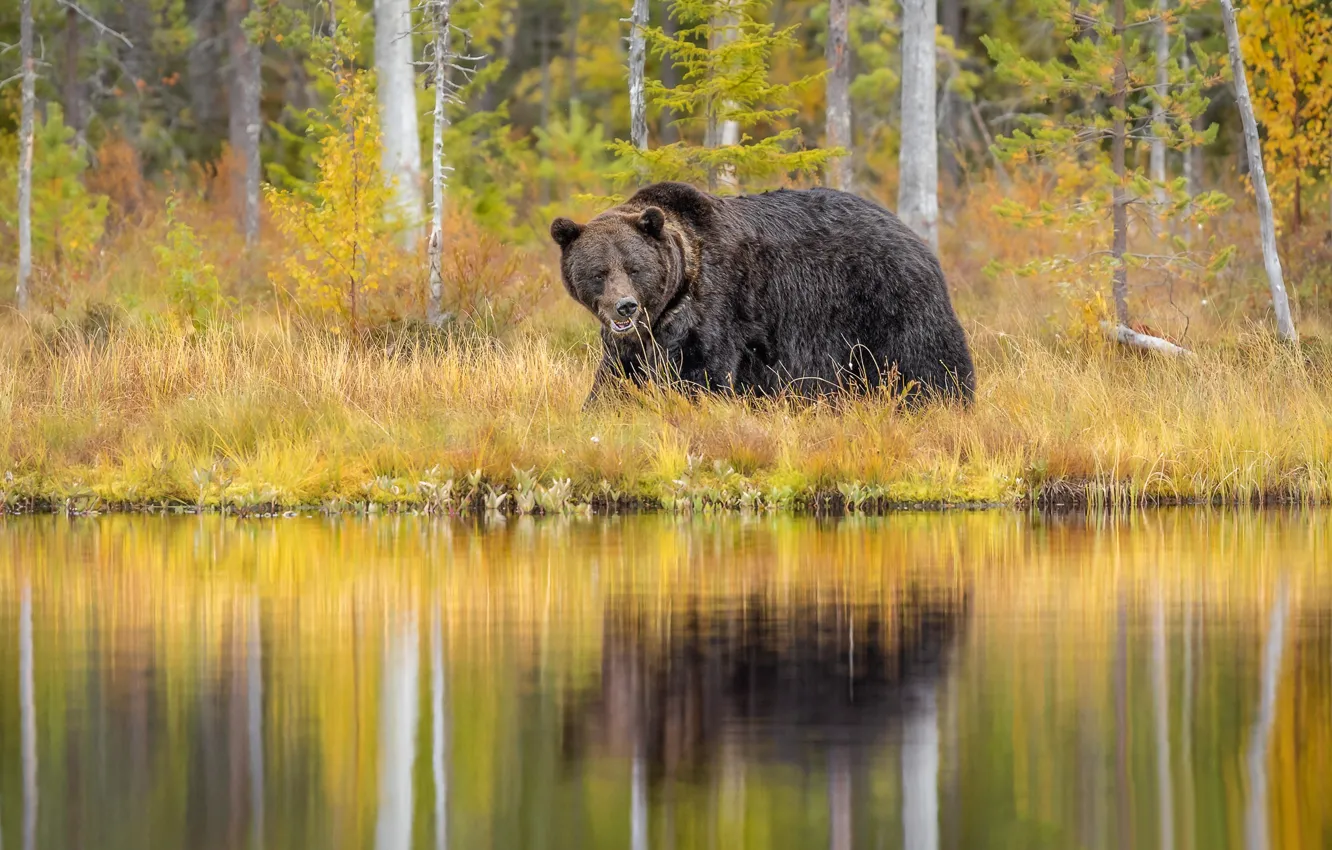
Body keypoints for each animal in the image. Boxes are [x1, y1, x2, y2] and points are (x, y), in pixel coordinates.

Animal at [550, 181, 975, 406]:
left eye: (635, 268)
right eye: (599, 272)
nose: (625, 306)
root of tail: (913, 235)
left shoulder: (716, 309)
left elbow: (703, 375)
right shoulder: (636, 341)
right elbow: (613, 379)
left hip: (886, 299)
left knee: (928, 360)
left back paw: (945, 401)